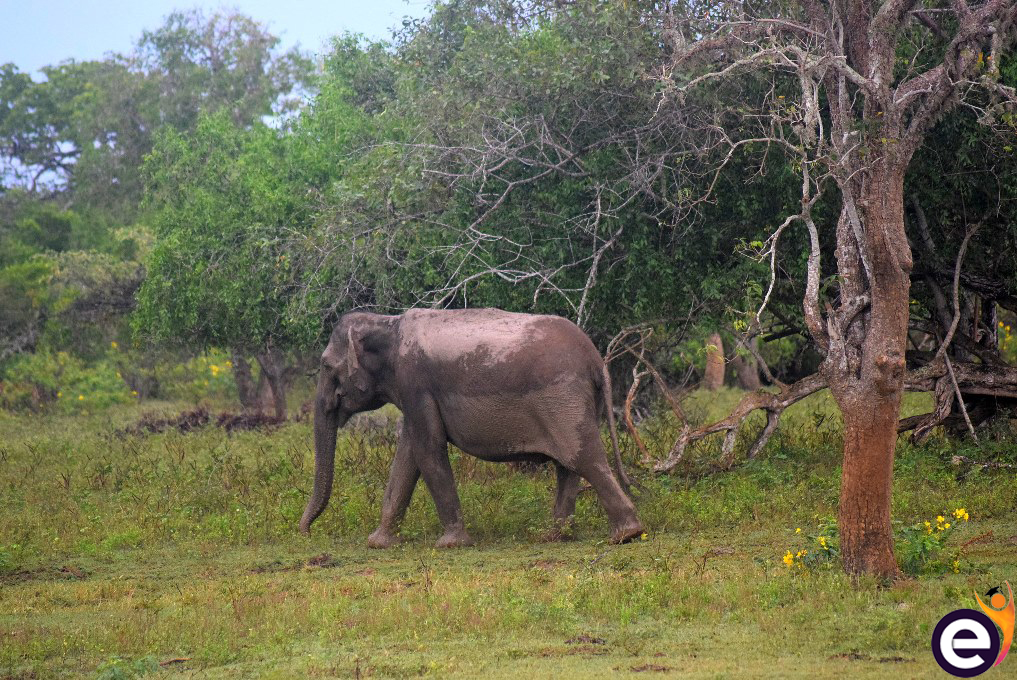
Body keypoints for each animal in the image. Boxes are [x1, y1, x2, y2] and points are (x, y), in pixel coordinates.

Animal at [296, 306, 642, 544]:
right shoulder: (415, 393)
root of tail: (597, 360)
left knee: (582, 458)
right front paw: (378, 543)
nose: (306, 532)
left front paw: (450, 544)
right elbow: (407, 457)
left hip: (562, 397)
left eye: (325, 365)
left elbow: (428, 450)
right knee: (568, 465)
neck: (387, 323)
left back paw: (626, 535)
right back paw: (555, 536)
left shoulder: (415, 382)